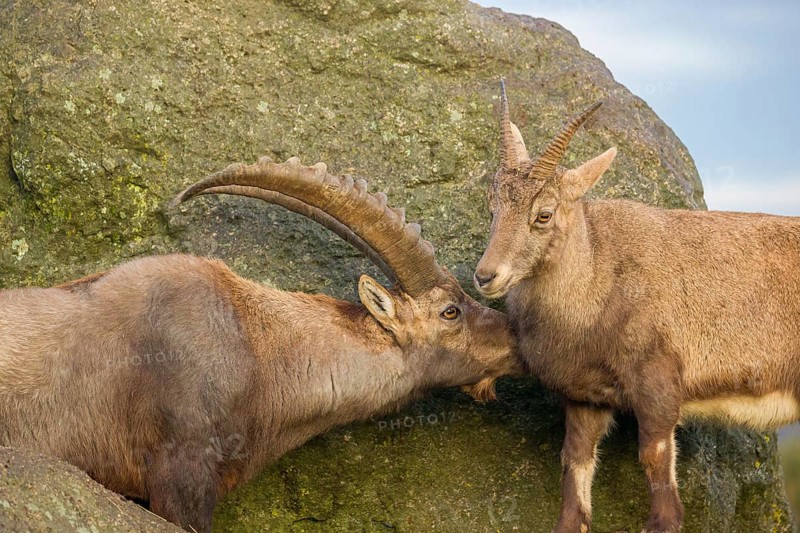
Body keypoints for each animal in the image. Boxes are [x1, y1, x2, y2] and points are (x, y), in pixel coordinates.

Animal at [473, 82, 800, 533]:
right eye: (492, 207)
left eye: (543, 214)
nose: (485, 276)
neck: (600, 274)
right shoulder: (586, 397)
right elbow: (574, 484)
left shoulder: (658, 386)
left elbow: (662, 493)